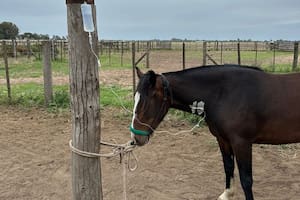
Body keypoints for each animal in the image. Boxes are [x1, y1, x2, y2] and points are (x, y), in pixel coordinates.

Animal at [130, 65, 300, 199]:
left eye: (149, 99)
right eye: (136, 98)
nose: (136, 138)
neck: (224, 94)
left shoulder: (242, 143)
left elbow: (246, 179)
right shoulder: (223, 139)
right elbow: (228, 167)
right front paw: (227, 194)